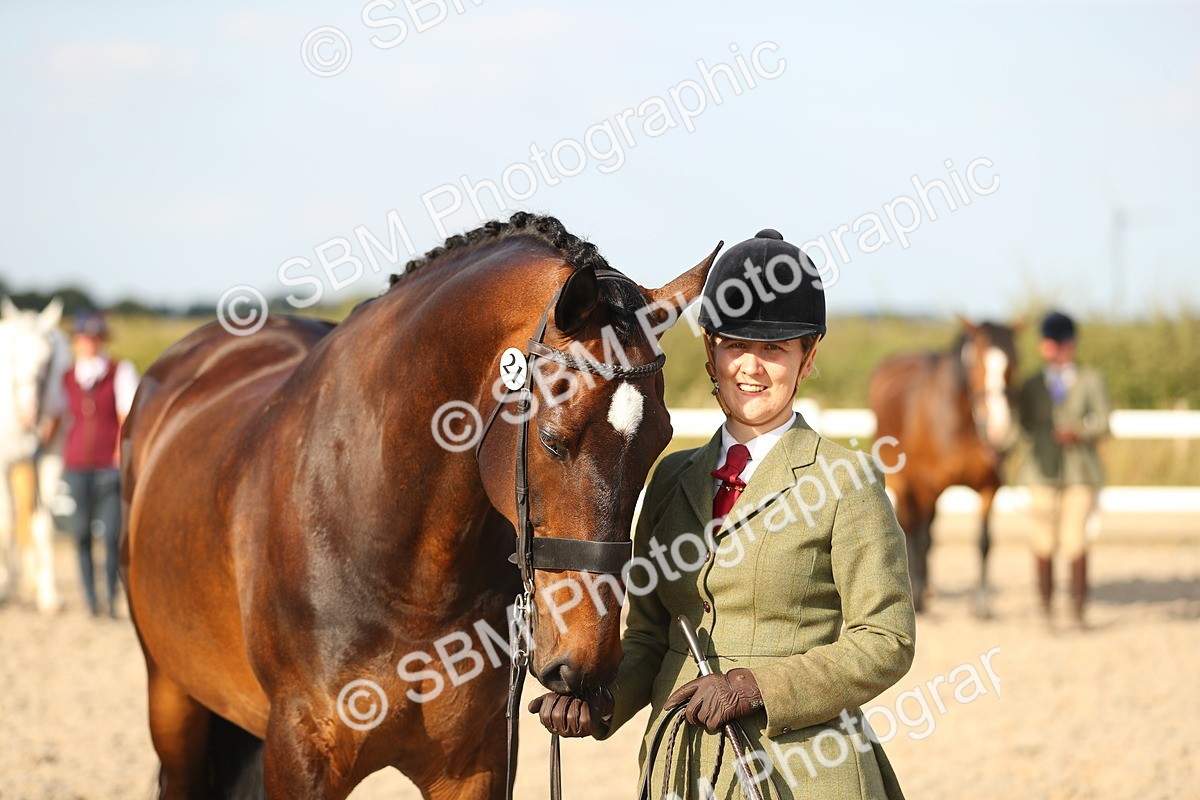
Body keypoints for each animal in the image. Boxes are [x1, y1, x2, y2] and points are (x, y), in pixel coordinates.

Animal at [121, 213, 720, 799]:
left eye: (662, 440)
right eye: (552, 441)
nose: (587, 664)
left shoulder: (473, 764)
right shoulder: (300, 753)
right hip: (172, 702)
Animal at [867, 317, 1019, 617]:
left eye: (1013, 362)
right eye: (976, 362)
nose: (998, 430)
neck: (962, 420)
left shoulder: (989, 487)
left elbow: (984, 541)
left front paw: (981, 603)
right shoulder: (928, 485)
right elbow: (922, 538)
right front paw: (919, 601)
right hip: (904, 482)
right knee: (912, 529)